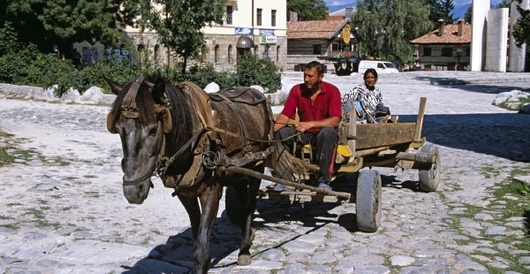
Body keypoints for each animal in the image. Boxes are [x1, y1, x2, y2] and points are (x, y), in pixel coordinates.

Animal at [103, 74, 306, 272]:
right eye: (118, 130)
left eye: (153, 130)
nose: (133, 191)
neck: (193, 139)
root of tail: (258, 96)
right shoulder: (185, 193)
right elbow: (197, 232)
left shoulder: (212, 191)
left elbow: (201, 250)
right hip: (237, 170)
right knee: (242, 197)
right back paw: (247, 237)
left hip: (257, 166)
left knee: (250, 204)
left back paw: (244, 251)